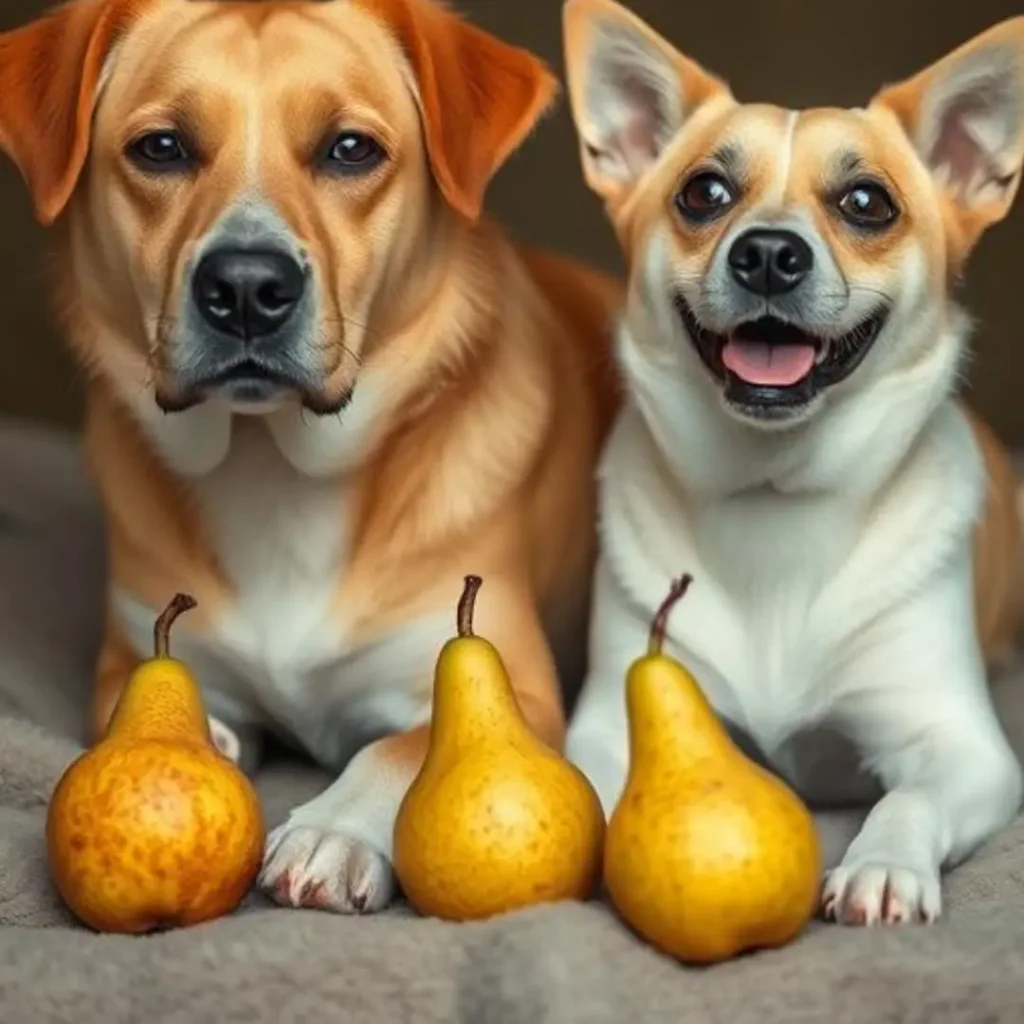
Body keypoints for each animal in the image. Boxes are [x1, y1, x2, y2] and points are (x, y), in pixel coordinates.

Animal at [565, 0, 1024, 929]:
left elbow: (908, 798)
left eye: (867, 203)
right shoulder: (606, 719)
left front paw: (884, 865)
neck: (774, 495)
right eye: (703, 193)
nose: (770, 254)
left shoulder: (966, 749)